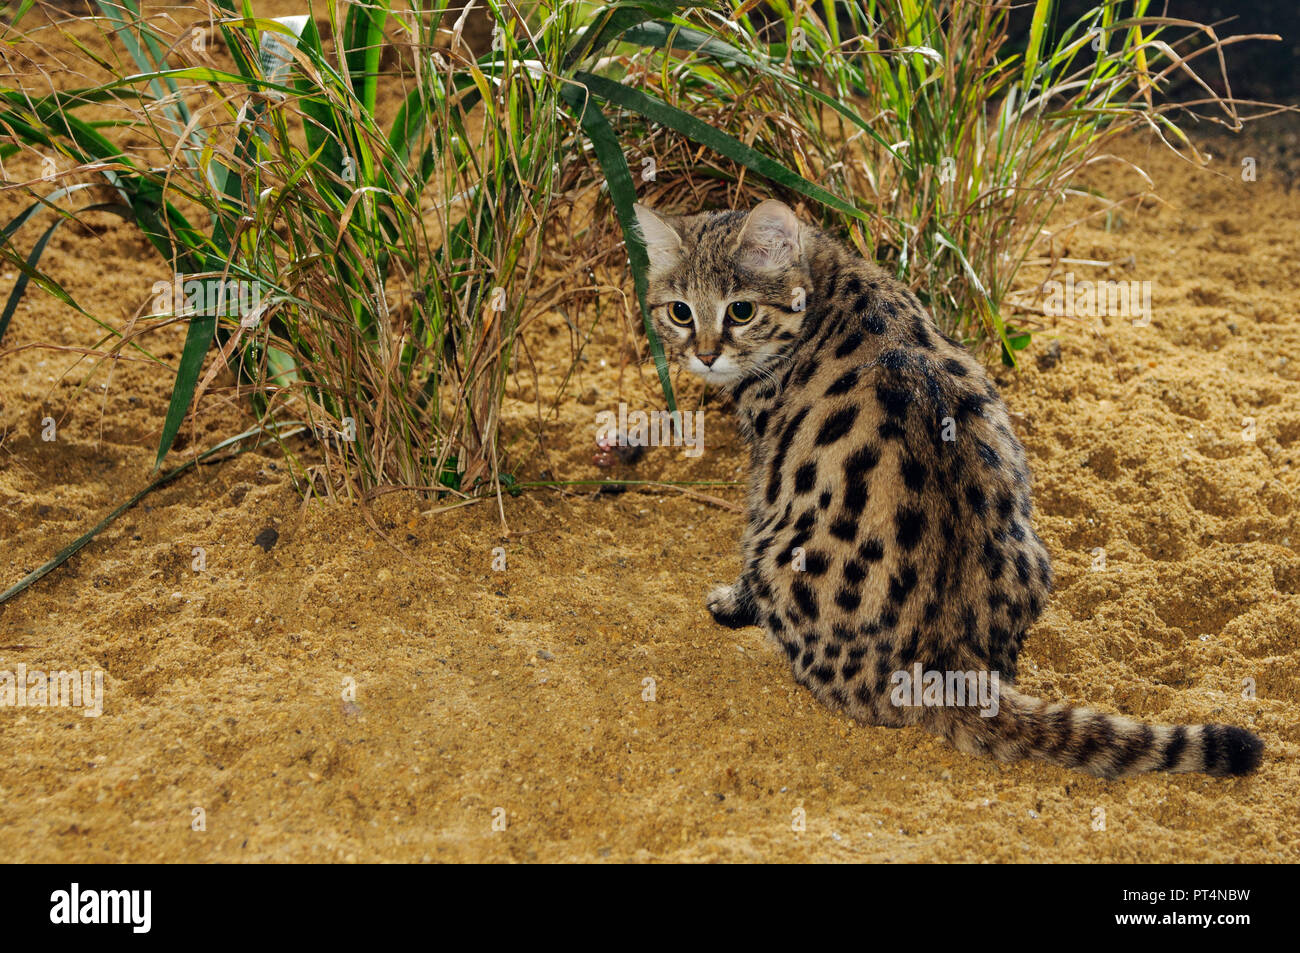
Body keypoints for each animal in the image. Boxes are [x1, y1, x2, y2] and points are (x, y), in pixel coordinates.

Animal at [634, 197, 1263, 774]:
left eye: (740, 310)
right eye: (680, 311)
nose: (704, 355)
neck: (826, 280)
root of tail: (940, 655)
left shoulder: (767, 470)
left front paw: (730, 600)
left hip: (778, 544)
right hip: (1035, 551)